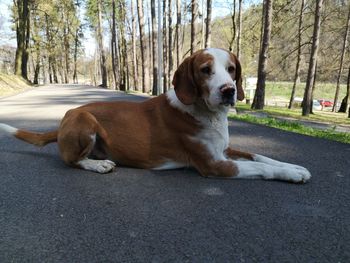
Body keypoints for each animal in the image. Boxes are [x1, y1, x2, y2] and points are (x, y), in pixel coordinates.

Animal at [0, 48, 312, 184]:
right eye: (205, 70)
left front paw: (295, 166)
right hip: (84, 119)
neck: (207, 113)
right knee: (71, 160)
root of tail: (62, 122)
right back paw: (98, 165)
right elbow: (261, 167)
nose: (229, 91)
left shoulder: (224, 150)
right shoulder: (214, 165)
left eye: (232, 69)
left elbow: (260, 156)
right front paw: (290, 174)